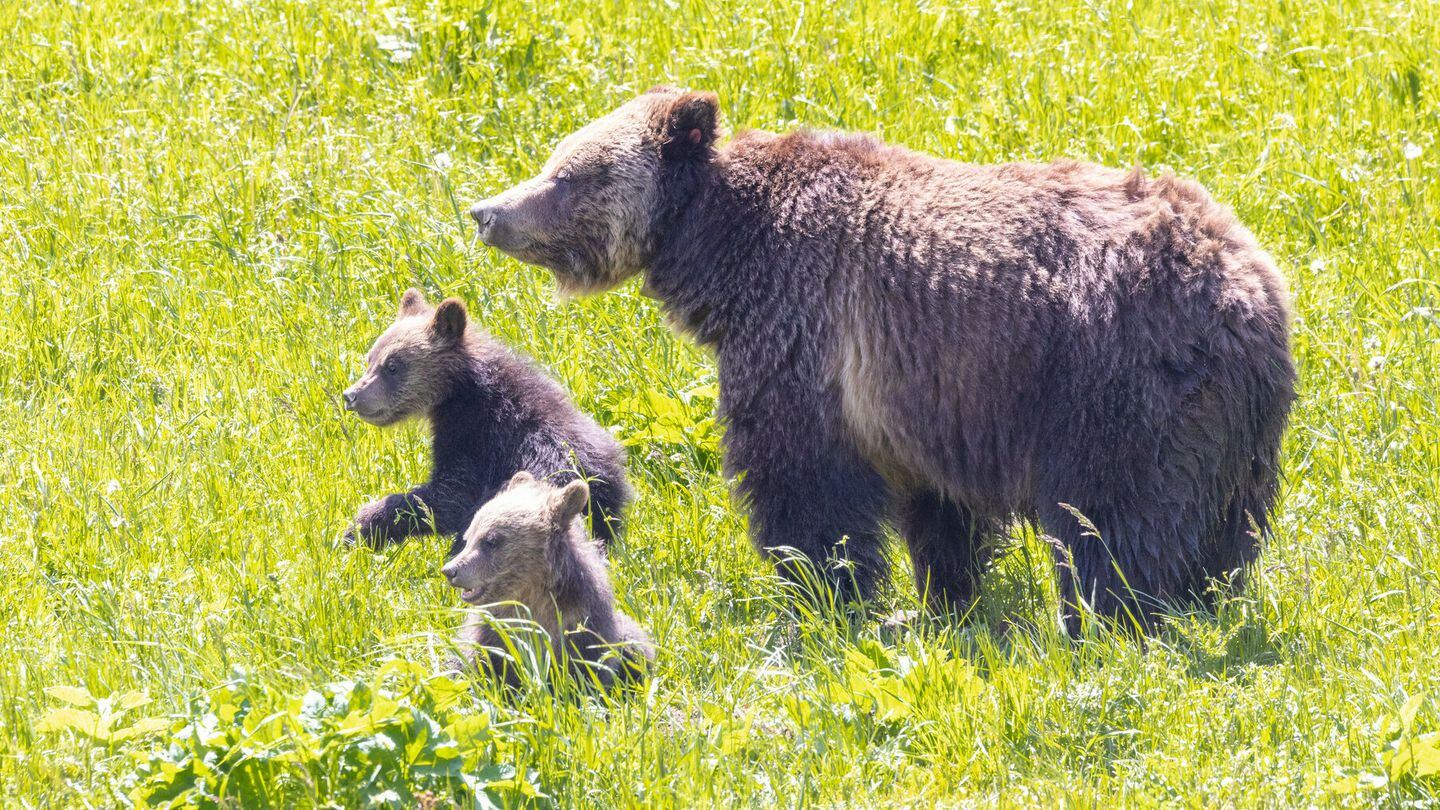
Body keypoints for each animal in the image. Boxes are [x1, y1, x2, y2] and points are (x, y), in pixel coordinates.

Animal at [339, 285, 633, 553]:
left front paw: (361, 526)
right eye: (370, 358)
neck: (459, 391)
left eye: (392, 366)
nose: (351, 395)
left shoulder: (478, 437)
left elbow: (449, 496)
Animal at [437, 469, 653, 683]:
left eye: (490, 541)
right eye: (468, 538)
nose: (450, 570)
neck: (533, 596)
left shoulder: (583, 626)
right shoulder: (490, 635)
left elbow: (590, 669)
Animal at [469, 88, 1296, 631]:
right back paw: (1199, 600)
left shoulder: (805, 334)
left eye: (568, 174)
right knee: (1221, 528)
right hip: (1234, 432)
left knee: (1114, 519)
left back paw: (1111, 618)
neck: (724, 252)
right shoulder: (931, 396)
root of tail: (1250, 291)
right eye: (554, 158)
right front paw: (947, 598)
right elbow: (939, 511)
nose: (487, 212)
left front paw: (824, 597)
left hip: (1114, 388)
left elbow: (805, 487)